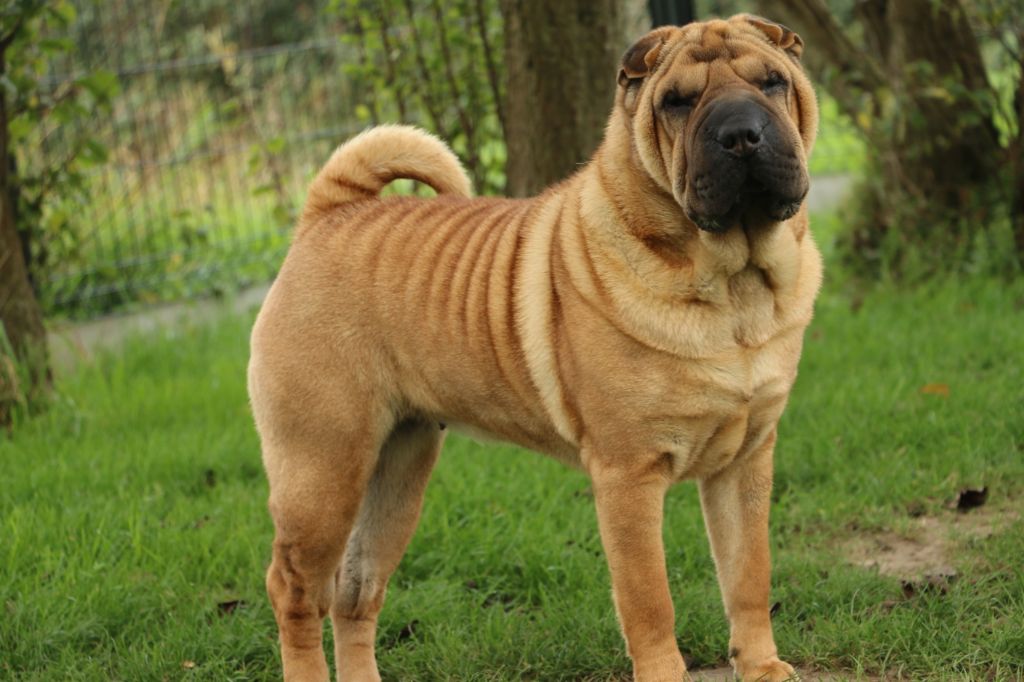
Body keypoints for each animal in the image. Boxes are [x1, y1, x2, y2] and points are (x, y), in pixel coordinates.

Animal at [248, 14, 820, 682]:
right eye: (677, 102)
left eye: (772, 82)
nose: (741, 134)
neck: (734, 286)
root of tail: (324, 215)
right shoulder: (628, 475)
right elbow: (649, 600)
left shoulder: (746, 461)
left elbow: (748, 576)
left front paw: (762, 667)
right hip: (322, 472)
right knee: (294, 591)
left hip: (397, 471)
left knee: (354, 592)